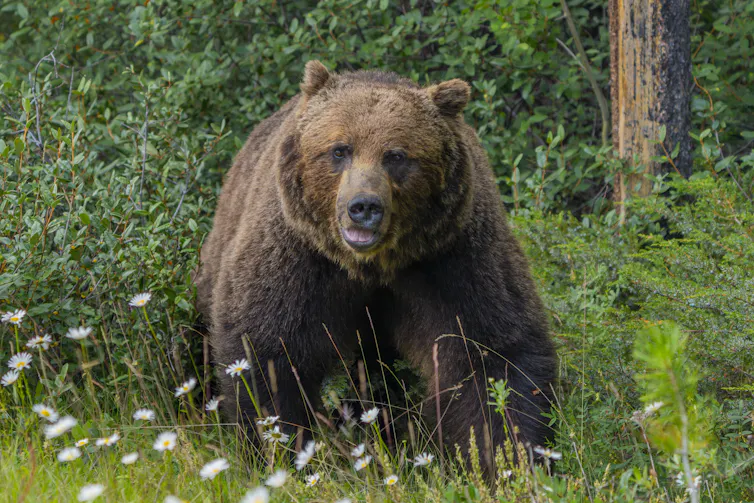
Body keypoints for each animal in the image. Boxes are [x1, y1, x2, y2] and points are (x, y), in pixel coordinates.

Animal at [195, 61, 556, 467]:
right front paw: (278, 449)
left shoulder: (453, 258)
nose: (363, 206)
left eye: (396, 155)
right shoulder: (297, 257)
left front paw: (512, 456)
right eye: (340, 150)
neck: (372, 265)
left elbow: (492, 352)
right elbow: (267, 350)